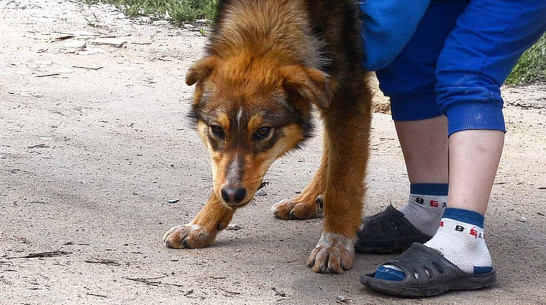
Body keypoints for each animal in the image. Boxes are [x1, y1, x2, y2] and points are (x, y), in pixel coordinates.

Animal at [164, 0, 372, 274]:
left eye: (262, 132)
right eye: (217, 130)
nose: (233, 195)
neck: (267, 18)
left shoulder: (350, 97)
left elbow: (343, 182)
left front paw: (335, 244)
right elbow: (218, 180)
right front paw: (202, 226)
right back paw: (305, 201)